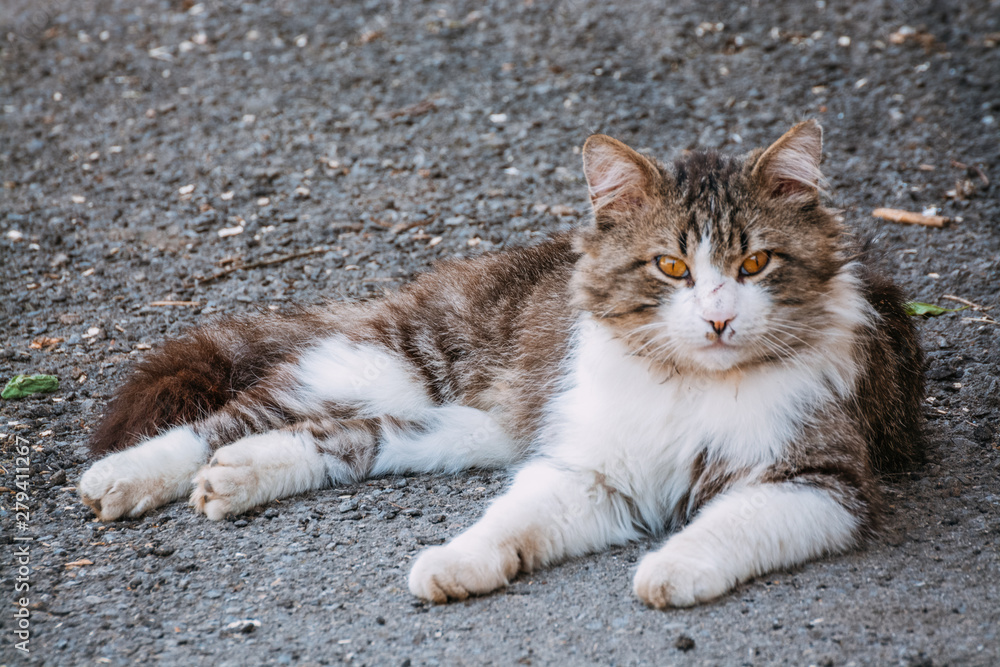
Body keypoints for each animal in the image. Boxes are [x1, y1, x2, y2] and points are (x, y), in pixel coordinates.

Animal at [76, 118, 920, 604]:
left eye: (753, 264)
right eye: (671, 267)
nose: (717, 318)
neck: (690, 383)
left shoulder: (820, 480)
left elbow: (730, 524)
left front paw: (670, 569)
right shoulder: (590, 467)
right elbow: (509, 519)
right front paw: (459, 560)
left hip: (460, 427)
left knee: (347, 439)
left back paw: (242, 475)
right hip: (391, 361)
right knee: (234, 416)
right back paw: (125, 476)